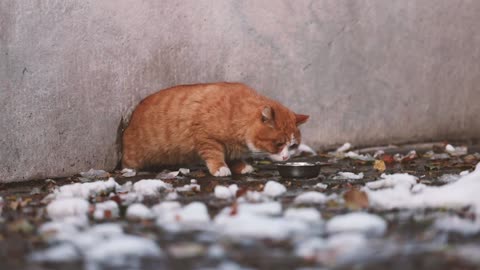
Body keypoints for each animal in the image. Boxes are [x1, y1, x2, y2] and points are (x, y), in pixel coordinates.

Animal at [122, 82, 310, 176]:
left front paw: (241, 167)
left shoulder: (233, 146)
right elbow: (215, 155)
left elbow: (234, 157)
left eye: (293, 145)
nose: (286, 157)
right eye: (278, 144)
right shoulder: (206, 138)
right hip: (134, 156)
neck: (236, 113)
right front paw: (220, 168)